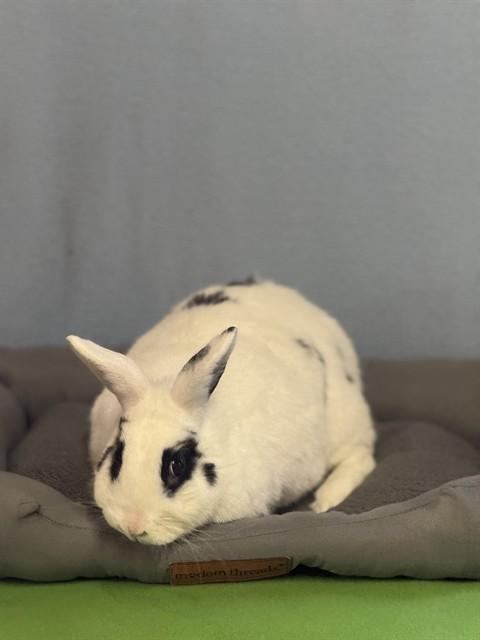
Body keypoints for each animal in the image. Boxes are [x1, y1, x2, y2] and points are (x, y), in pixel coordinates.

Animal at [67, 278, 375, 545]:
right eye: (116, 457)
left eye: (177, 464)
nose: (133, 526)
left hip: (346, 423)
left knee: (361, 457)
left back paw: (326, 500)